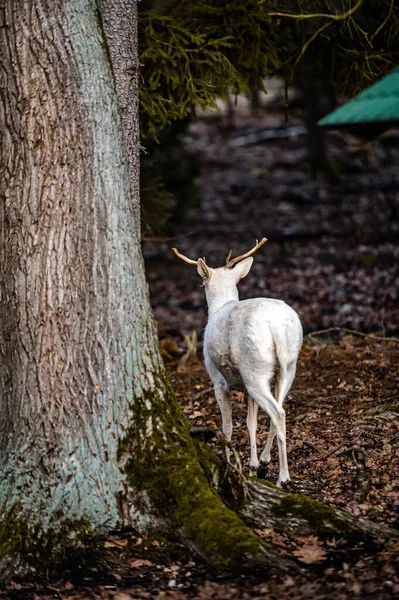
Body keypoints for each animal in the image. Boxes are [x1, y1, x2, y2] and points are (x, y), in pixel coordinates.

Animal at [173, 237, 304, 486]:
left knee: (278, 412)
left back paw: (283, 478)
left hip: (254, 368)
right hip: (287, 366)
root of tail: (277, 326)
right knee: (280, 407)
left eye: (202, 284)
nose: (201, 286)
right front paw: (253, 466)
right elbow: (251, 422)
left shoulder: (218, 379)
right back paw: (266, 460)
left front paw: (230, 466)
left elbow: (227, 427)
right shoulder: (244, 385)